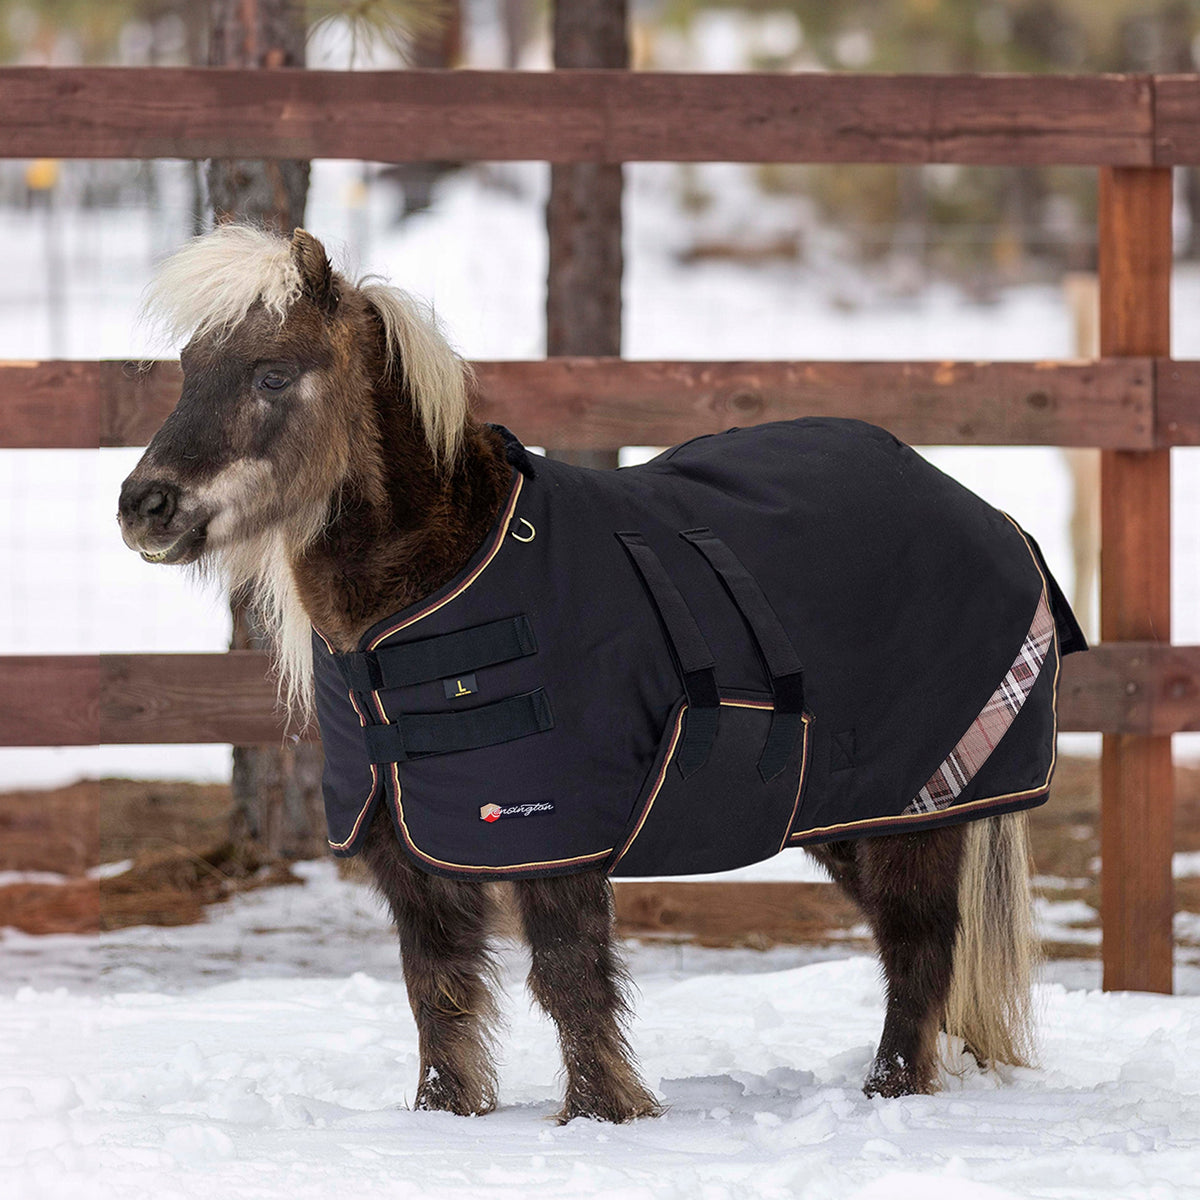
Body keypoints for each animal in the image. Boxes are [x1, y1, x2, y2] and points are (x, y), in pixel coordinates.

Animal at [118, 225, 1057, 1123]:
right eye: (188, 369)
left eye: (272, 373)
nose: (144, 507)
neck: (434, 593)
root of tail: (984, 512)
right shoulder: (406, 850)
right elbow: (437, 987)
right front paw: (442, 1115)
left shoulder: (557, 842)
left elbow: (568, 981)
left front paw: (603, 1115)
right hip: (852, 813)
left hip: (915, 812)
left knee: (917, 941)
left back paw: (890, 1092)